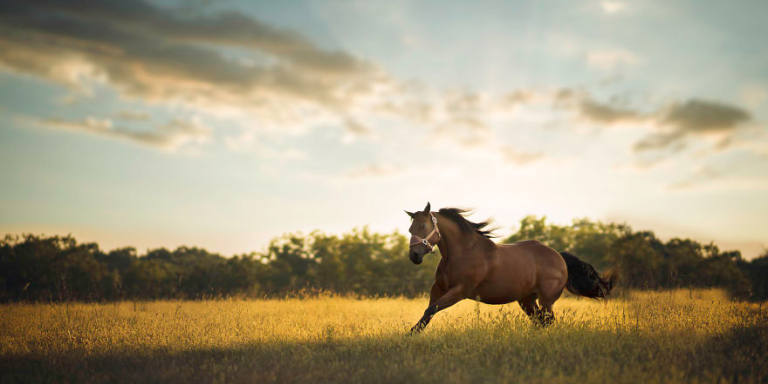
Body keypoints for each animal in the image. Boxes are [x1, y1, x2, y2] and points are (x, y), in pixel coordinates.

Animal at [404, 201, 616, 332]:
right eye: (409, 228)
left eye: (423, 226)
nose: (414, 256)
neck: (462, 253)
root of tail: (559, 256)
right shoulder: (438, 288)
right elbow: (428, 312)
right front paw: (411, 335)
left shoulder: (459, 291)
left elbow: (431, 310)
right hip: (527, 299)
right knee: (539, 321)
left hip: (547, 299)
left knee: (547, 320)